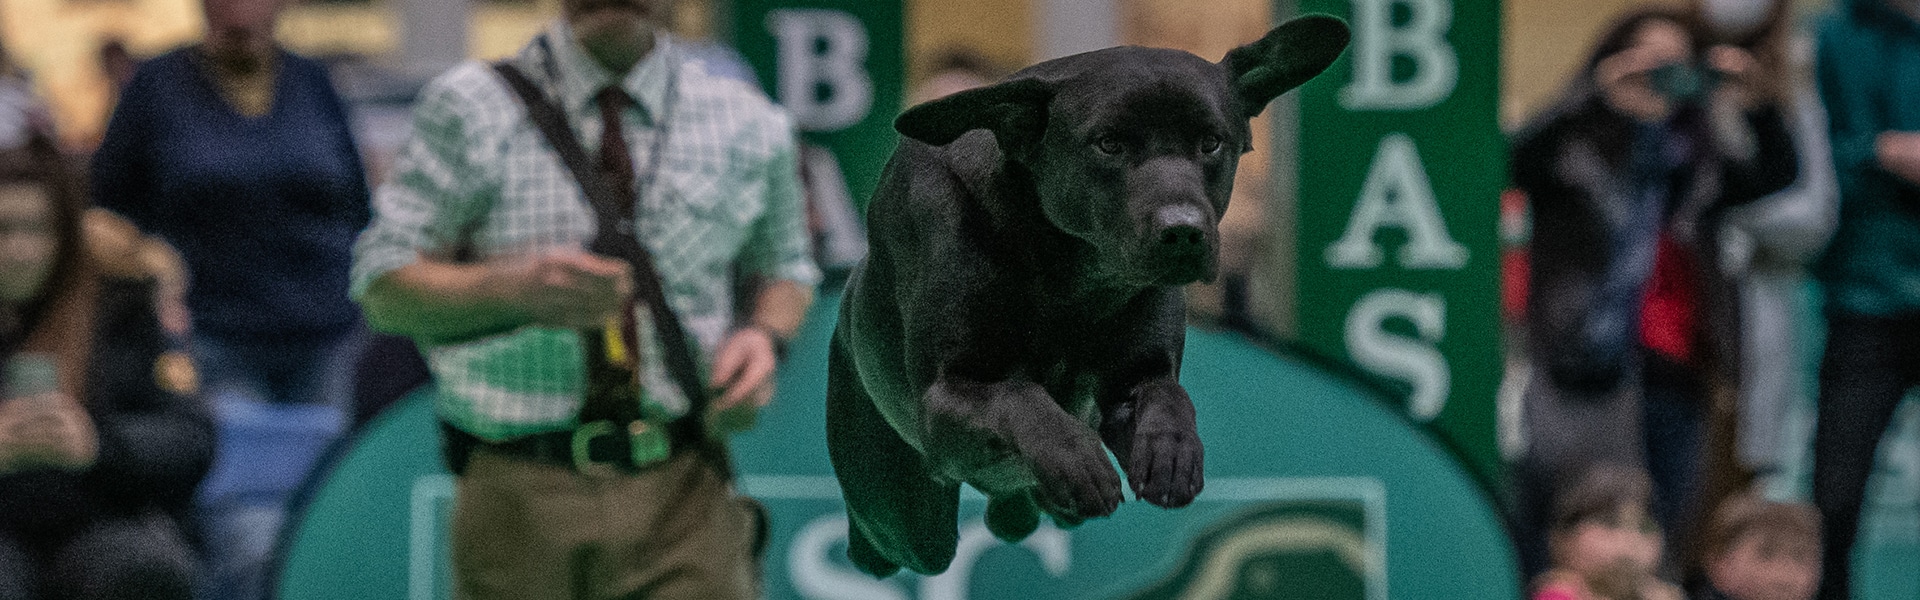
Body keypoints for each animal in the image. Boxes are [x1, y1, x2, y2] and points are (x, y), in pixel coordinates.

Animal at [825, 15, 1351, 576]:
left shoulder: (1135, 376)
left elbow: (1168, 395)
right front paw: (1078, 462)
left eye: (1211, 142)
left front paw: (1172, 452)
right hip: (904, 519)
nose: (1183, 232)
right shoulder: (947, 394)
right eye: (1109, 144)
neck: (1071, 272)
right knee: (893, 545)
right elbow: (1021, 396)